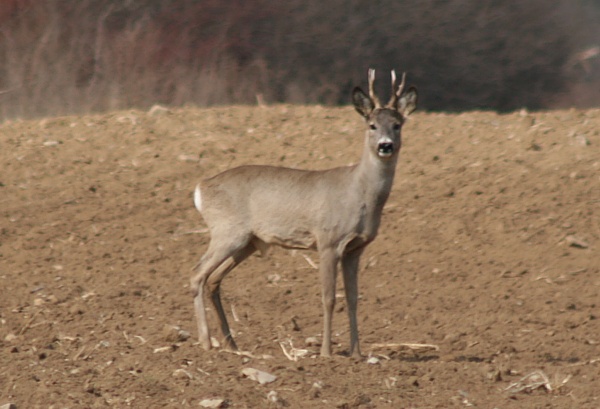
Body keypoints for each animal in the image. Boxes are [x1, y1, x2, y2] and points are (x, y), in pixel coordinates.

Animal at [192, 69, 418, 356]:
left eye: (397, 124)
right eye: (372, 125)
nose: (385, 146)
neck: (359, 192)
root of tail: (201, 187)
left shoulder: (356, 248)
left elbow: (353, 298)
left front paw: (356, 353)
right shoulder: (328, 240)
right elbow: (329, 297)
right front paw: (326, 352)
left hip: (248, 242)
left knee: (213, 279)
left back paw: (231, 344)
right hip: (227, 231)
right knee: (197, 274)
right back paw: (205, 341)